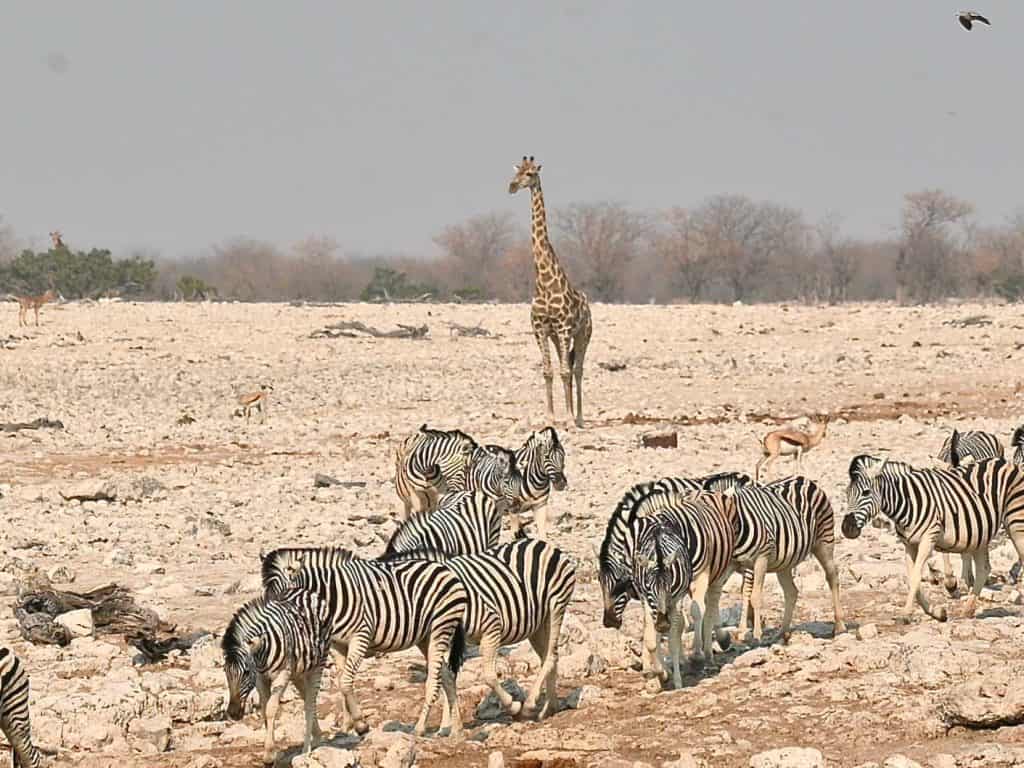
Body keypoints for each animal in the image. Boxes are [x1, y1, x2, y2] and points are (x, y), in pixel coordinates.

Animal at [222, 589, 332, 764]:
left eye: (246, 672)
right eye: (225, 671)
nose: (232, 713)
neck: (262, 653)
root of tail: (306, 591)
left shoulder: (282, 675)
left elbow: (270, 709)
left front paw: (268, 755)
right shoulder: (260, 678)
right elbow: (263, 709)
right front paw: (271, 753)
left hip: (318, 664)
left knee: (310, 702)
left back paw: (306, 750)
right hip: (297, 671)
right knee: (305, 696)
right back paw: (317, 737)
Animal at [261, 547, 468, 737]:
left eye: (284, 597)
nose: (281, 629)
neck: (333, 597)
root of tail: (445, 569)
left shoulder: (360, 636)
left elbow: (345, 682)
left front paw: (360, 724)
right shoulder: (337, 644)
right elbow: (341, 681)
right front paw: (347, 726)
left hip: (441, 627)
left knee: (434, 681)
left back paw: (420, 728)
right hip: (425, 637)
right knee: (447, 676)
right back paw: (456, 729)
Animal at [382, 537, 576, 720]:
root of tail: (544, 544)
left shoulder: (492, 627)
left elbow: (488, 676)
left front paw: (512, 706)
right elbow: (448, 679)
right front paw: (448, 724)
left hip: (556, 606)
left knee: (550, 656)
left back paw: (529, 705)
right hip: (537, 624)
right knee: (549, 656)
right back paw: (550, 707)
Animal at [508, 156, 592, 428]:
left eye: (530, 174)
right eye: (517, 172)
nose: (512, 186)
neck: (544, 282)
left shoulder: (565, 328)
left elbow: (565, 371)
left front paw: (568, 417)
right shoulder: (541, 329)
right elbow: (548, 371)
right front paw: (551, 417)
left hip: (583, 334)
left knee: (577, 370)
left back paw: (579, 416)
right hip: (558, 338)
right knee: (567, 365)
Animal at [843, 455, 1024, 622]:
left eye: (866, 492)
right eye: (846, 493)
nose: (846, 528)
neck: (908, 502)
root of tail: (1006, 462)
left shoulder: (928, 538)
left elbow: (915, 577)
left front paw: (905, 614)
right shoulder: (909, 544)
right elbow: (911, 578)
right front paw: (936, 612)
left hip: (1015, 523)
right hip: (980, 533)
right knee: (984, 568)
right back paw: (968, 610)